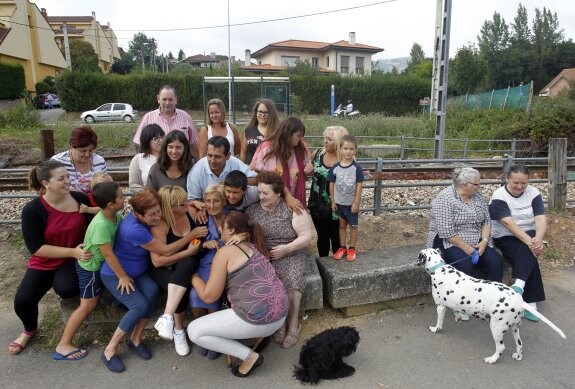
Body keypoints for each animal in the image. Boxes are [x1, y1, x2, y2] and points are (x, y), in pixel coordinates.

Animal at [418, 247, 568, 362]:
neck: (440, 268)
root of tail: (520, 300)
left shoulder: (440, 307)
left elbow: (439, 323)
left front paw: (435, 329)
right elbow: (457, 312)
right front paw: (458, 318)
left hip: (496, 328)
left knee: (501, 348)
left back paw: (492, 359)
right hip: (514, 328)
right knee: (520, 344)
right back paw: (517, 356)